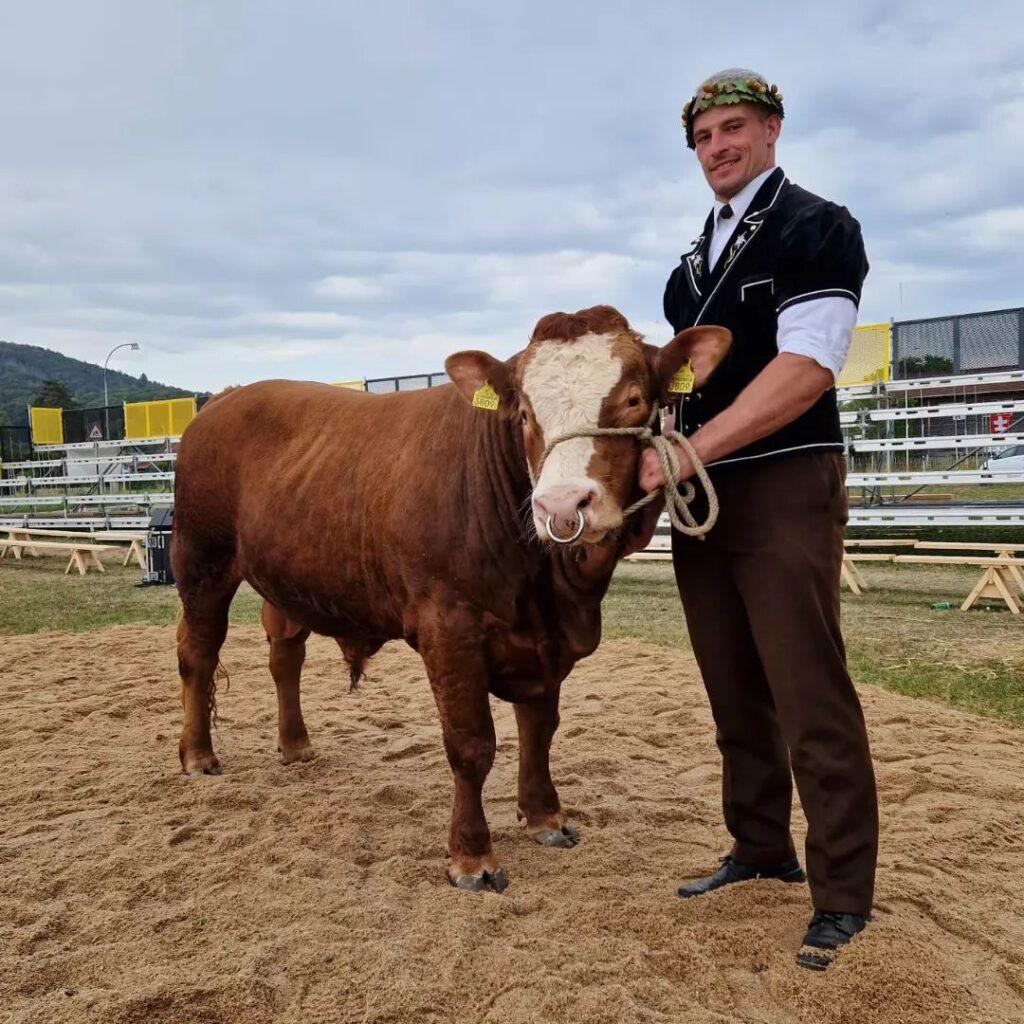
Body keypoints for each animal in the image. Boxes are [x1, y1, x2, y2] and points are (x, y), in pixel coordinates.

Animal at [174, 303, 729, 888]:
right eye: (524, 414)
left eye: (635, 399)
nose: (560, 504)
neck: (549, 585)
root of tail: (227, 397)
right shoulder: (449, 626)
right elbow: (470, 744)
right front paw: (472, 855)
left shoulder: (545, 639)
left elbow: (540, 728)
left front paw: (545, 816)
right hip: (202, 559)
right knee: (198, 652)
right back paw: (198, 755)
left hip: (285, 575)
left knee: (285, 653)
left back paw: (296, 745)